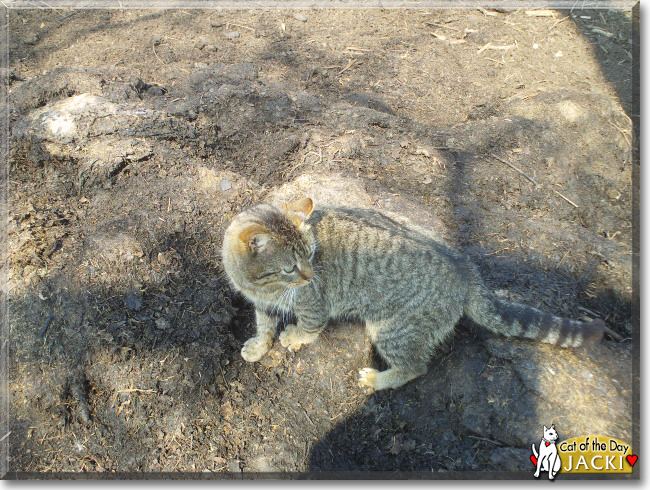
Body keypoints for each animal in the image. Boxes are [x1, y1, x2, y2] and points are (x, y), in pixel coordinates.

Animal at [221, 197, 604, 392]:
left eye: (312, 256)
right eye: (290, 267)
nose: (310, 275)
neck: (262, 286)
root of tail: (466, 270)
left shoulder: (314, 304)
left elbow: (309, 326)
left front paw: (295, 337)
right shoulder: (261, 302)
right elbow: (263, 324)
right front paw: (259, 344)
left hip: (392, 329)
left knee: (416, 367)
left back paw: (378, 379)